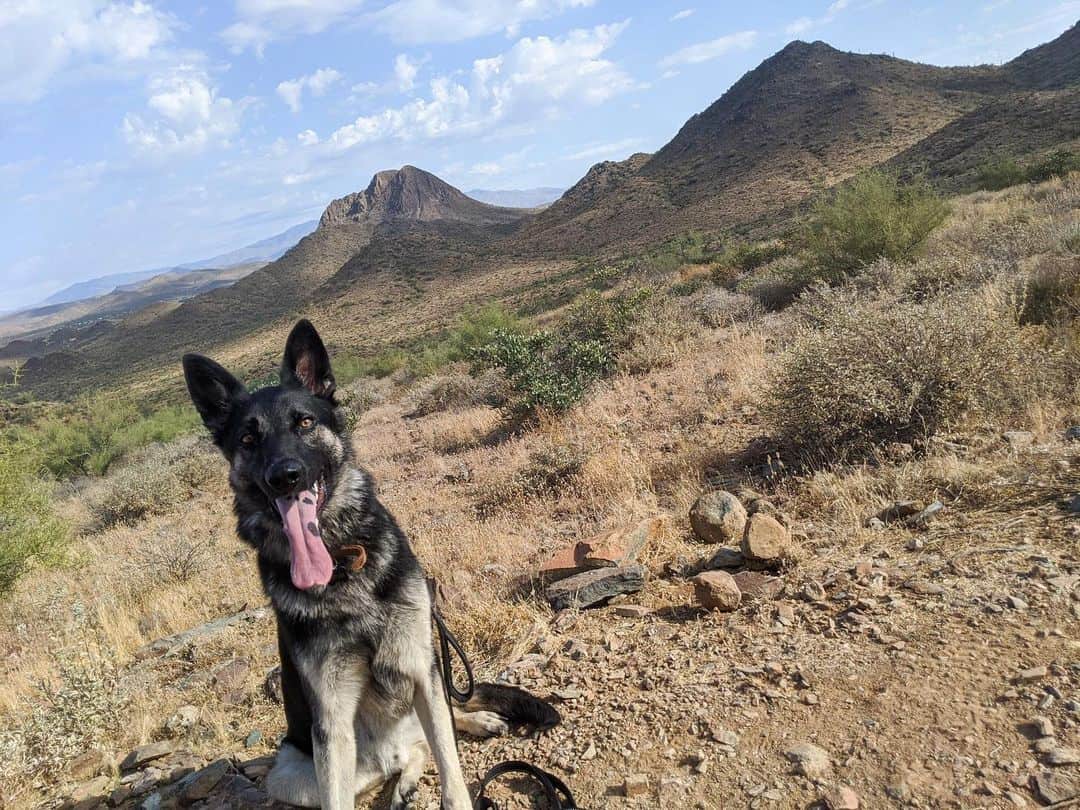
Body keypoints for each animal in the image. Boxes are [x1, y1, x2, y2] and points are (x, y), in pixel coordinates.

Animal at [182, 319, 561, 807]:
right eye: (248, 439)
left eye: (305, 422)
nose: (285, 476)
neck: (344, 566)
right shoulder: (332, 722)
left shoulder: (421, 668)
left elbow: (450, 760)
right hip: (292, 773)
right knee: (404, 756)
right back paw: (405, 780)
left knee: (436, 728)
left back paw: (471, 727)